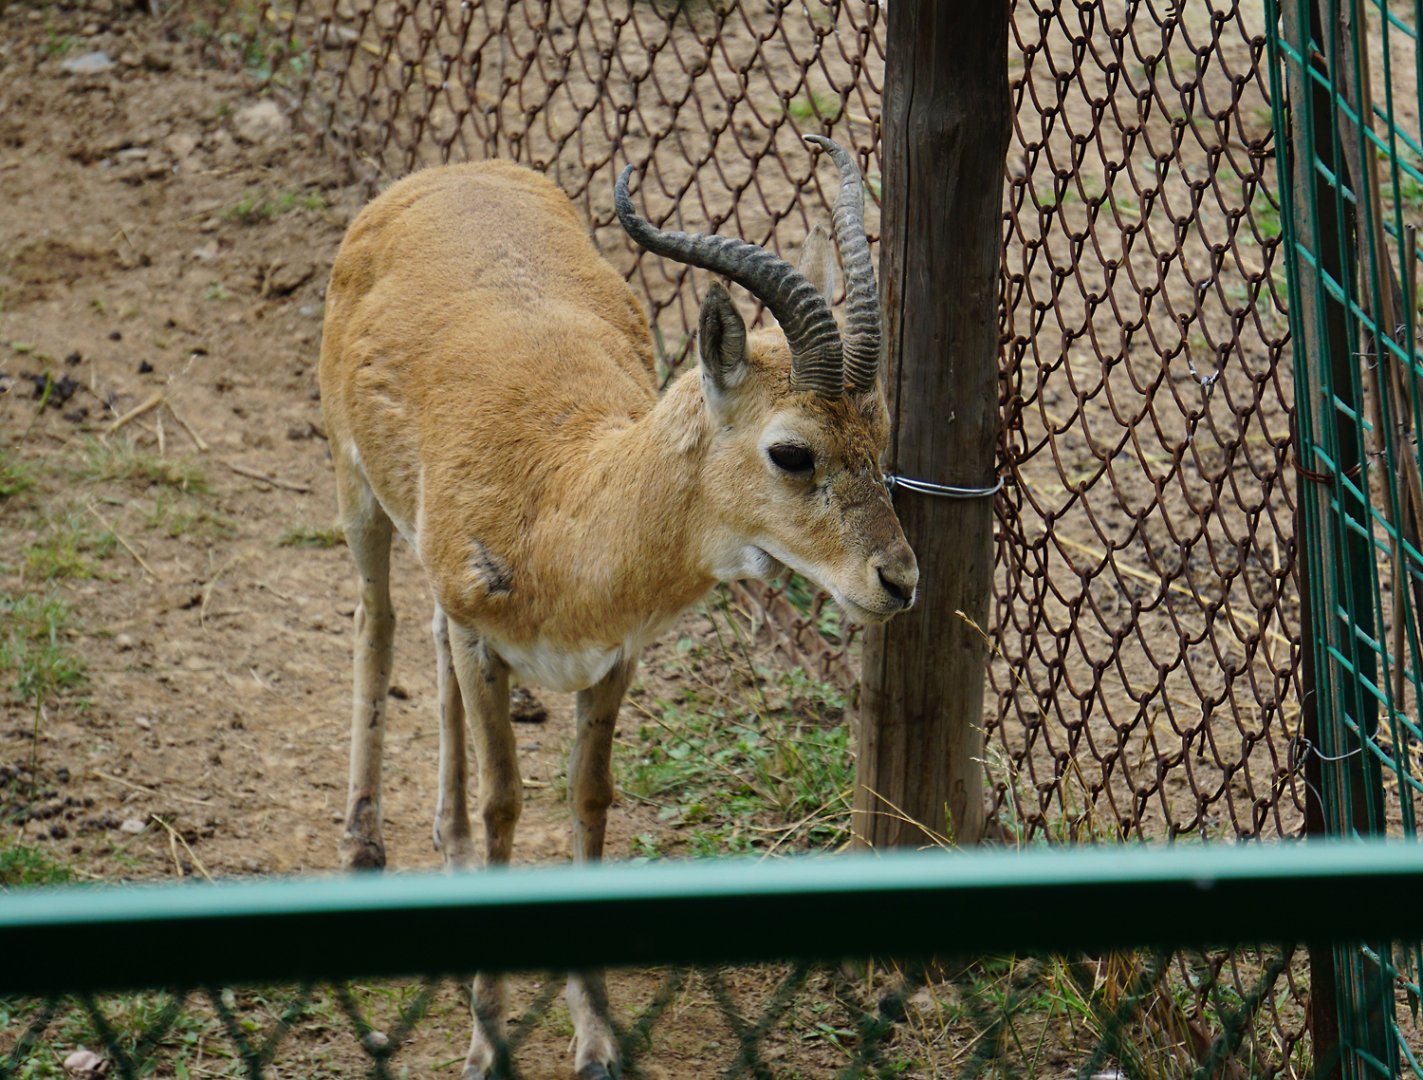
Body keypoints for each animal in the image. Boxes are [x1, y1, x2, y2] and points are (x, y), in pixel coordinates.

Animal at [319, 136, 918, 1080]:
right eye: (791, 451)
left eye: (880, 430)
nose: (897, 580)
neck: (565, 505)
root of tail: (445, 174)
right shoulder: (489, 646)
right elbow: (505, 804)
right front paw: (486, 1046)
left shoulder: (613, 659)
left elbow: (589, 800)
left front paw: (596, 1038)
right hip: (356, 491)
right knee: (376, 624)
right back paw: (362, 847)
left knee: (425, 642)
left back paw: (443, 851)